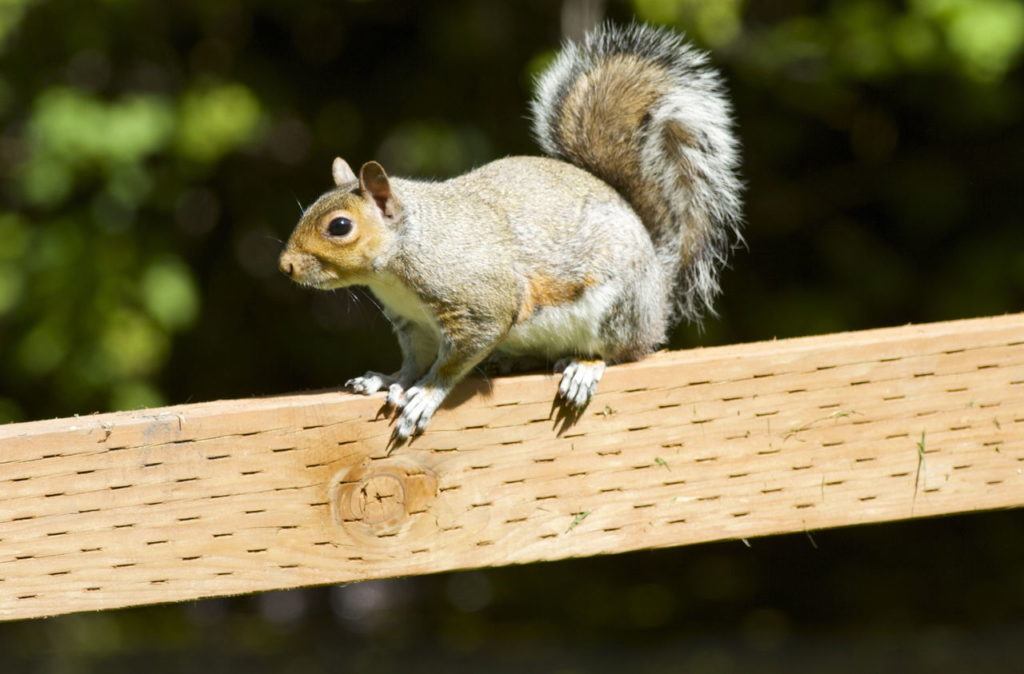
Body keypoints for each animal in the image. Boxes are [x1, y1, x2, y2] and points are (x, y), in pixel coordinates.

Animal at [280, 23, 745, 438]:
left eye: (340, 226)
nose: (286, 266)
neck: (405, 252)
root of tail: (657, 294)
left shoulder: (479, 305)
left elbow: (449, 364)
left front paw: (424, 395)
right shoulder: (412, 323)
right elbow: (413, 361)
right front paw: (388, 378)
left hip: (616, 309)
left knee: (618, 351)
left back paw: (583, 368)